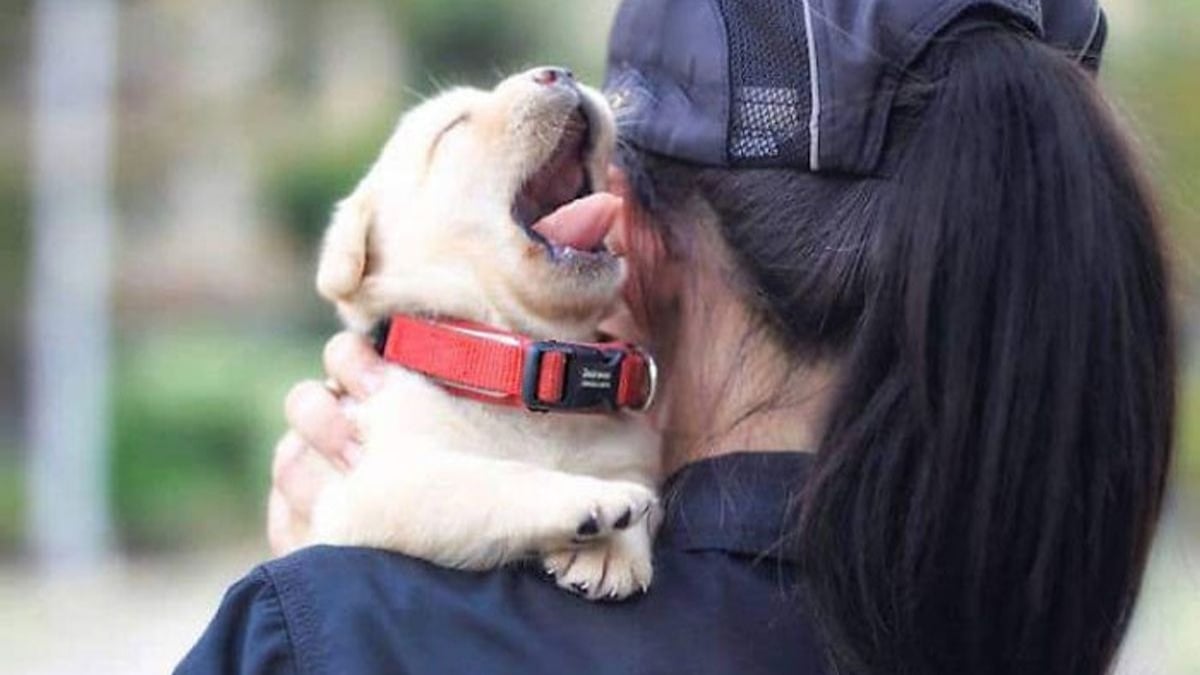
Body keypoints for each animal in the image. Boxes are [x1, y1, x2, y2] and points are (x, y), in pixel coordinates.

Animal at [300, 66, 662, 593]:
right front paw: (589, 496)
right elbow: (489, 478)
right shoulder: (372, 489)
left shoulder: (632, 450)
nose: (559, 73)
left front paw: (614, 548)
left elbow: (641, 483)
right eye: (452, 128)